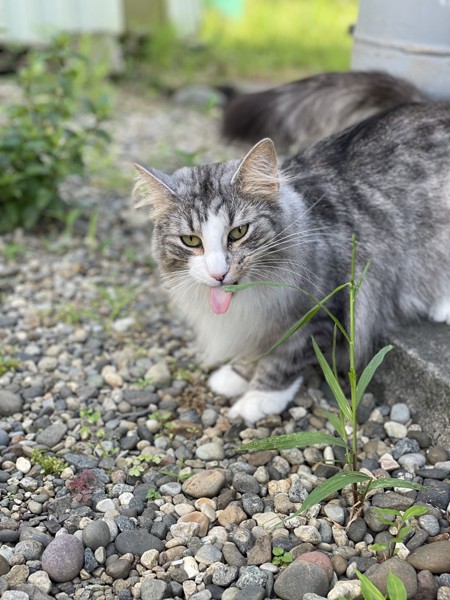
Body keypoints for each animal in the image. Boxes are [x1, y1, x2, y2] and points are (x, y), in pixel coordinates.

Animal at [135, 101, 450, 424]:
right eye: (191, 241)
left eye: (238, 233)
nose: (219, 273)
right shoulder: (256, 321)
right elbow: (254, 351)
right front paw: (236, 375)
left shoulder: (319, 312)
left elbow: (283, 359)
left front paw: (259, 398)